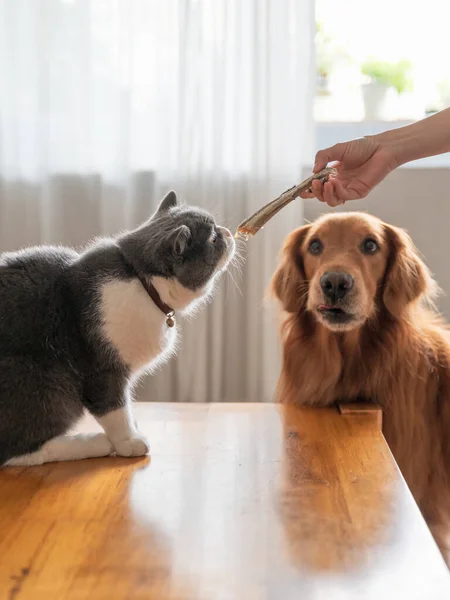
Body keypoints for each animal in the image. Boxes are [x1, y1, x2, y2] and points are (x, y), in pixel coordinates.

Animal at [0, 190, 234, 466]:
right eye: (212, 238)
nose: (227, 232)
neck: (142, 281)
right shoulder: (103, 368)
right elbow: (115, 408)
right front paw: (129, 440)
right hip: (40, 381)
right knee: (17, 451)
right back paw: (93, 443)